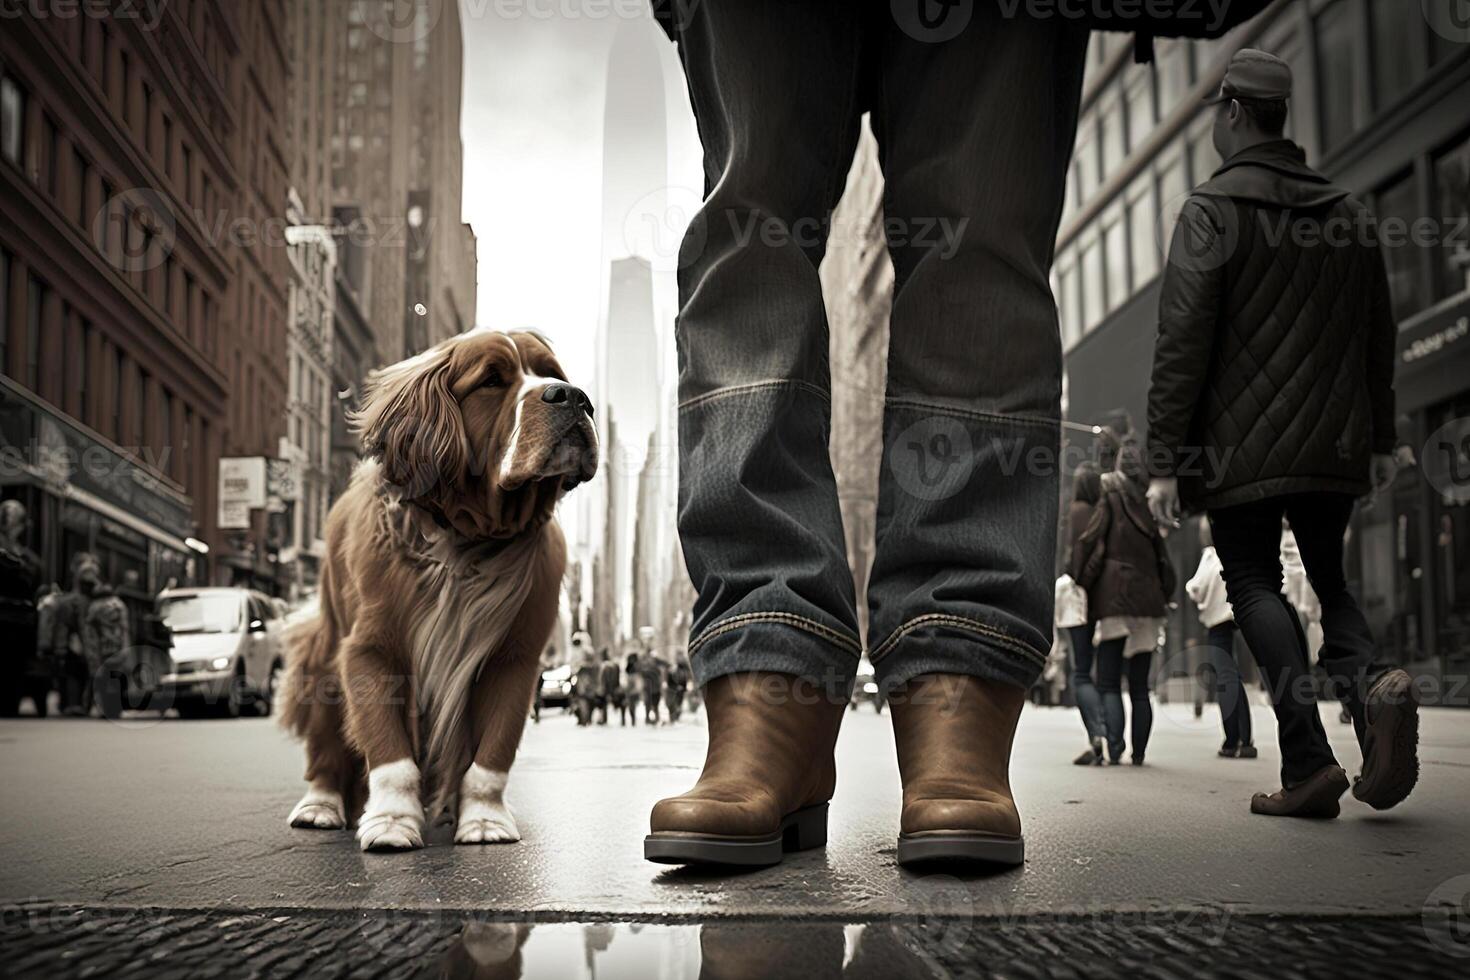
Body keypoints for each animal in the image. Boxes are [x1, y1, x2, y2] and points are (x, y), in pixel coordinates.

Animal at [277, 329, 593, 852]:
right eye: (491, 380)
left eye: (554, 374)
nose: (573, 397)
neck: (470, 539)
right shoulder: (371, 649)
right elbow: (391, 753)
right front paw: (390, 822)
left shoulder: (513, 659)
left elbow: (493, 753)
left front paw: (484, 821)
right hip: (321, 663)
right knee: (326, 748)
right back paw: (320, 805)